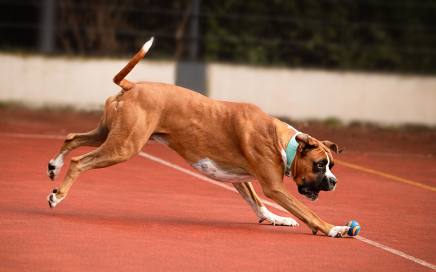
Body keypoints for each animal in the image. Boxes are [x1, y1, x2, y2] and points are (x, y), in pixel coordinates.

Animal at [46, 37, 350, 237]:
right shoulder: (274, 187)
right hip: (122, 147)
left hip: (107, 135)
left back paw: (54, 166)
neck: (284, 143)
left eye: (331, 165)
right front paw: (334, 228)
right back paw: (58, 195)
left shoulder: (239, 178)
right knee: (80, 162)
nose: (334, 182)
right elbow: (308, 212)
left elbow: (257, 204)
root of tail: (132, 86)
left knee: (72, 138)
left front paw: (277, 218)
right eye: (320, 165)